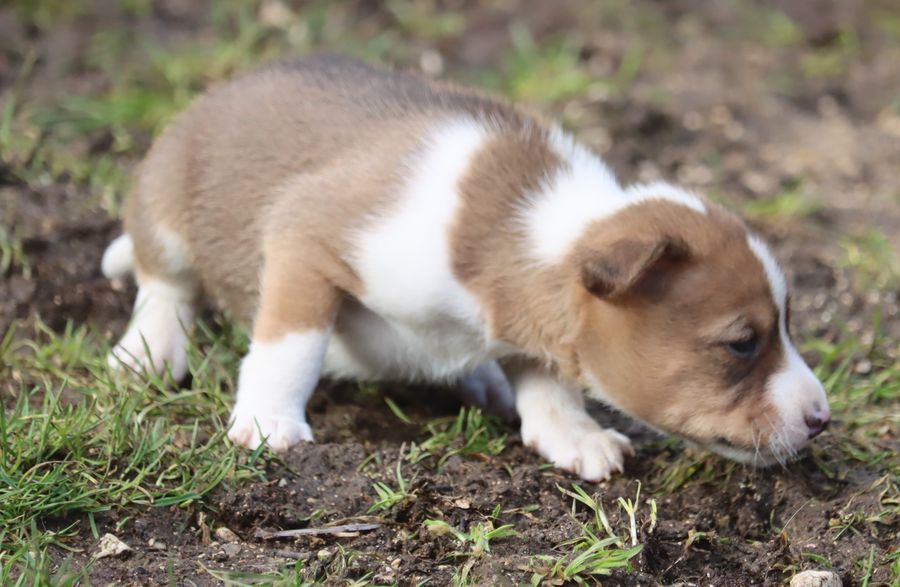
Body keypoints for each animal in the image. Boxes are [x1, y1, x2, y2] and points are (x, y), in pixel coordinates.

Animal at [103, 52, 828, 480]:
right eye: (741, 344)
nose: (824, 419)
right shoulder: (306, 240)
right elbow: (291, 343)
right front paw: (269, 420)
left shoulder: (536, 329)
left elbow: (548, 382)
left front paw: (574, 433)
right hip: (165, 206)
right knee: (165, 282)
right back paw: (149, 347)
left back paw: (481, 378)